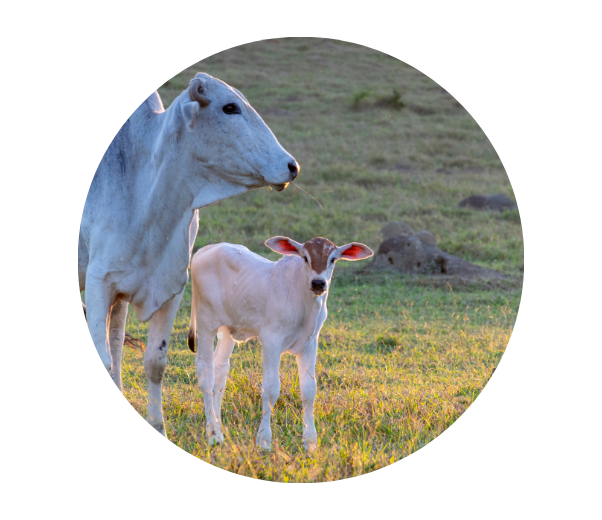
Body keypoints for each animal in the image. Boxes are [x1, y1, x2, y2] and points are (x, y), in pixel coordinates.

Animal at [78, 73, 299, 439]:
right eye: (229, 107)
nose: (291, 166)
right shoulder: (99, 283)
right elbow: (106, 357)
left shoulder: (171, 289)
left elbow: (154, 362)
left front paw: (159, 426)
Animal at [187, 236, 374, 452]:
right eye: (305, 257)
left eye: (333, 259)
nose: (318, 283)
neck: (304, 303)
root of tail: (205, 250)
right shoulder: (271, 341)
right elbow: (271, 389)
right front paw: (263, 440)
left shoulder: (310, 343)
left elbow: (309, 390)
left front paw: (310, 441)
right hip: (206, 322)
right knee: (205, 371)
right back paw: (213, 434)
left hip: (227, 329)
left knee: (220, 369)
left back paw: (219, 426)